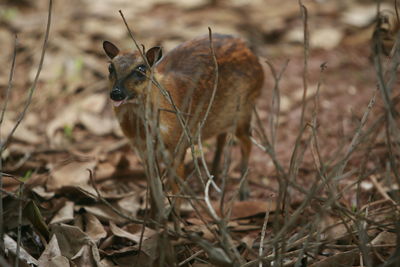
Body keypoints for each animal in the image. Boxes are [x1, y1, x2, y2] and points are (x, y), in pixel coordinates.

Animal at [103, 32, 266, 215]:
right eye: (111, 68)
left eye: (141, 69)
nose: (116, 93)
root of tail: (246, 47)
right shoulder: (143, 150)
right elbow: (153, 187)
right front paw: (154, 217)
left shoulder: (178, 145)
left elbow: (175, 185)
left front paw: (173, 216)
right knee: (222, 137)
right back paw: (213, 177)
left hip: (244, 109)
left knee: (247, 142)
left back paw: (243, 191)